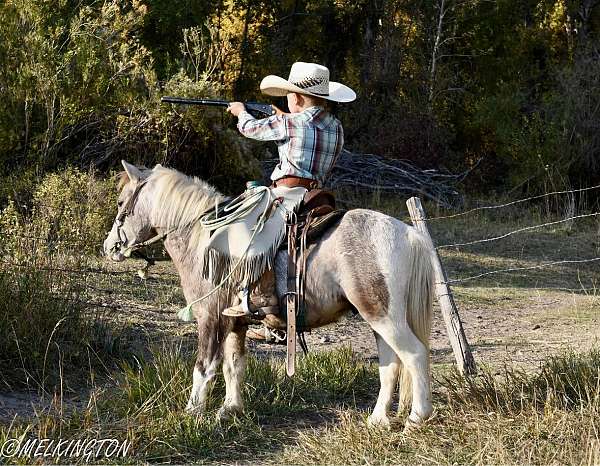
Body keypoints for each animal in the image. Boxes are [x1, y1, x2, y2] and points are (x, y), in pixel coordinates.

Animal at [101, 161, 434, 430]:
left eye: (120, 202)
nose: (109, 247)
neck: (203, 238)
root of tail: (408, 234)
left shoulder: (209, 317)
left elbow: (204, 367)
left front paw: (192, 413)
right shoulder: (235, 322)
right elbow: (233, 364)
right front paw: (230, 410)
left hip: (383, 316)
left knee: (414, 355)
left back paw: (417, 419)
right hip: (377, 318)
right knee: (390, 363)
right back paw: (378, 420)